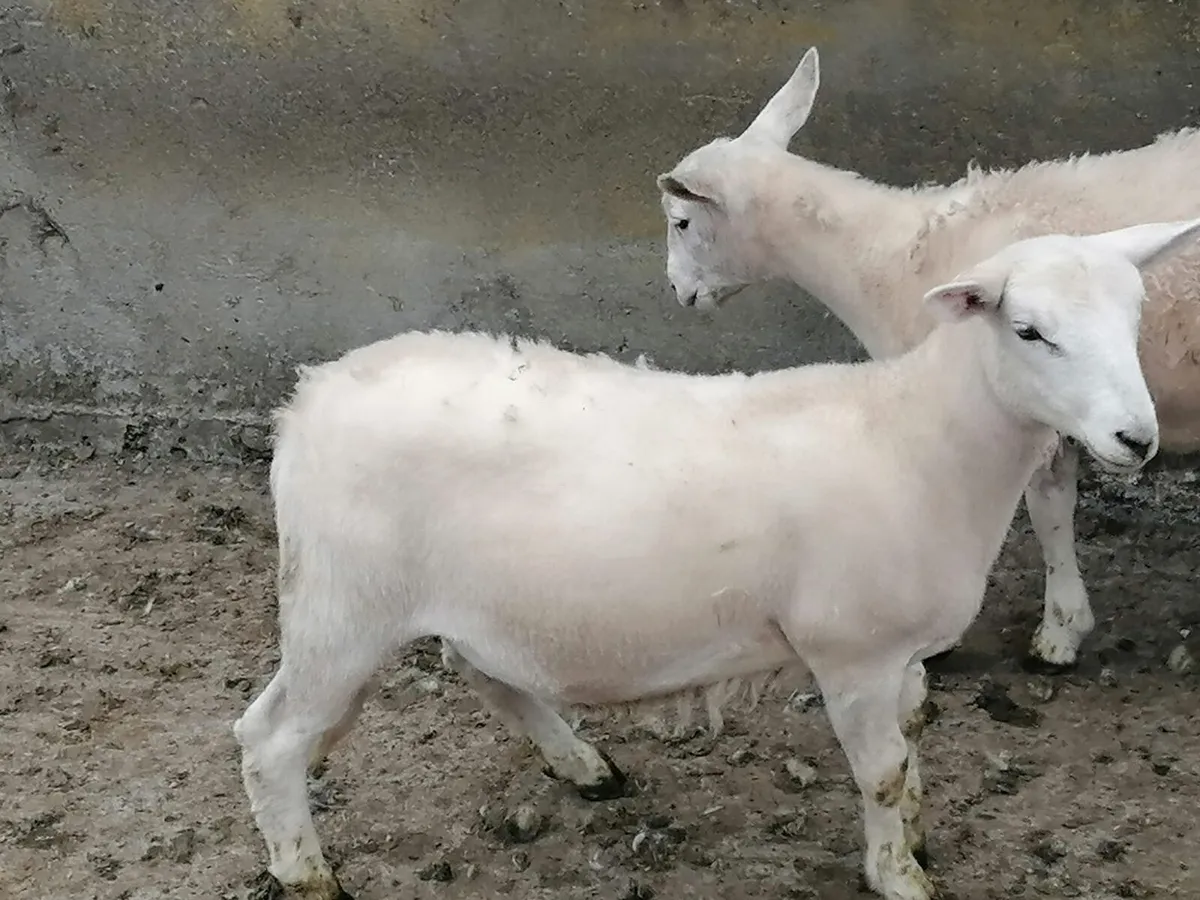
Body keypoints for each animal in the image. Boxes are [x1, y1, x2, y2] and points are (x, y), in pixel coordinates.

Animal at [232, 219, 1200, 900]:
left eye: (1134, 318)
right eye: (1029, 331)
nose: (1136, 439)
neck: (921, 437)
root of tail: (305, 401)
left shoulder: (900, 651)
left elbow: (916, 741)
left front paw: (917, 836)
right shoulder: (850, 651)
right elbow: (883, 773)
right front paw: (899, 874)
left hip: (456, 596)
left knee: (487, 673)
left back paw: (583, 766)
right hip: (339, 604)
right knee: (269, 740)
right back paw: (307, 873)